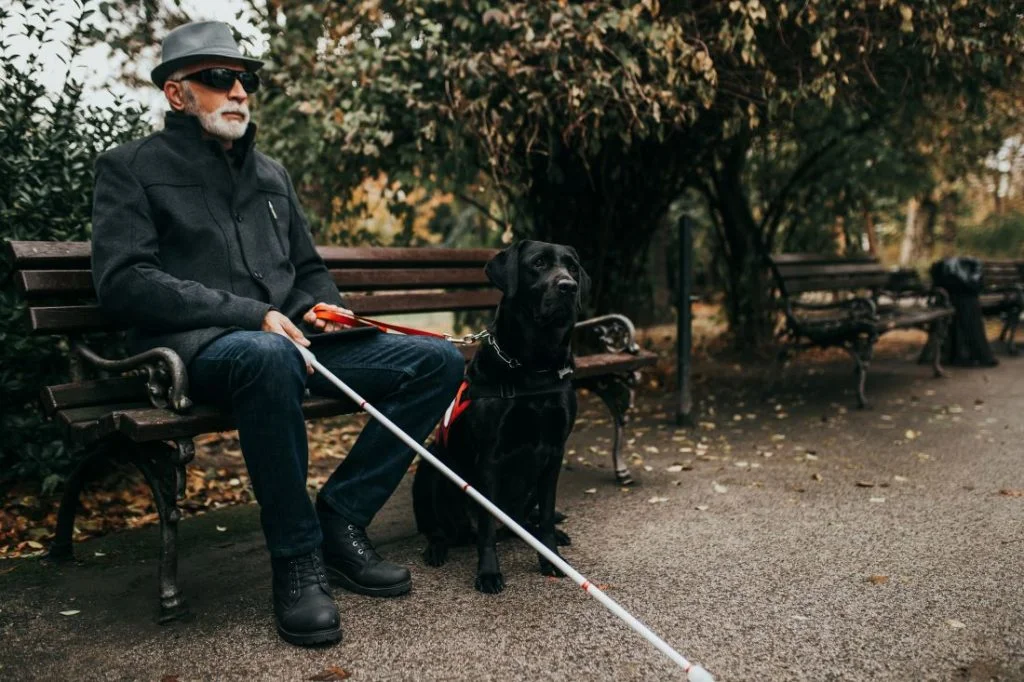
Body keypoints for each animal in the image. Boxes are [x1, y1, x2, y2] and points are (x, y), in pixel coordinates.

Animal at [413, 238, 593, 589]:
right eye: (538, 263)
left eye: (572, 267)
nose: (568, 286)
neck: (535, 366)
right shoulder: (490, 455)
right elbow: (486, 526)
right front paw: (488, 572)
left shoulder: (555, 452)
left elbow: (547, 514)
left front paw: (551, 558)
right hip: (431, 464)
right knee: (441, 530)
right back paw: (437, 549)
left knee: (526, 521)